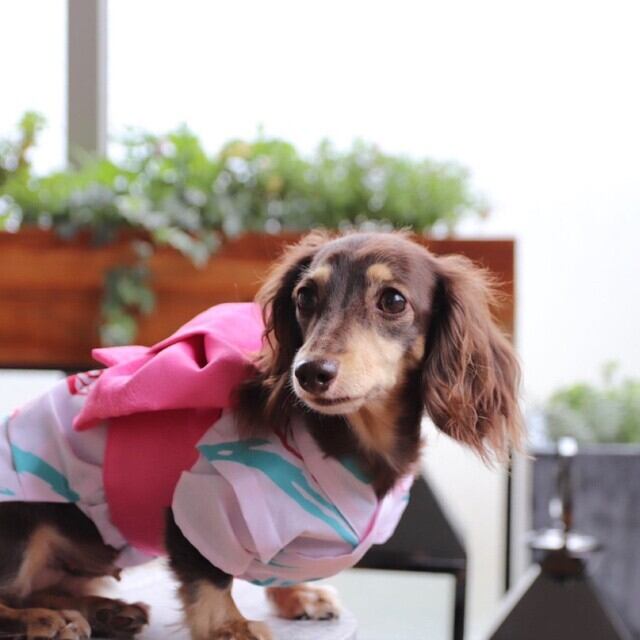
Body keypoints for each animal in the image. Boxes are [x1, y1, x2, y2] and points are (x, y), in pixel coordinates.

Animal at [0, 231, 522, 640]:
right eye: (305, 297)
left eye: (393, 300)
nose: (309, 373)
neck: (346, 440)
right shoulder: (197, 503)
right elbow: (208, 577)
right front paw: (230, 626)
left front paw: (298, 596)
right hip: (23, 526)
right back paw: (43, 619)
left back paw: (103, 610)